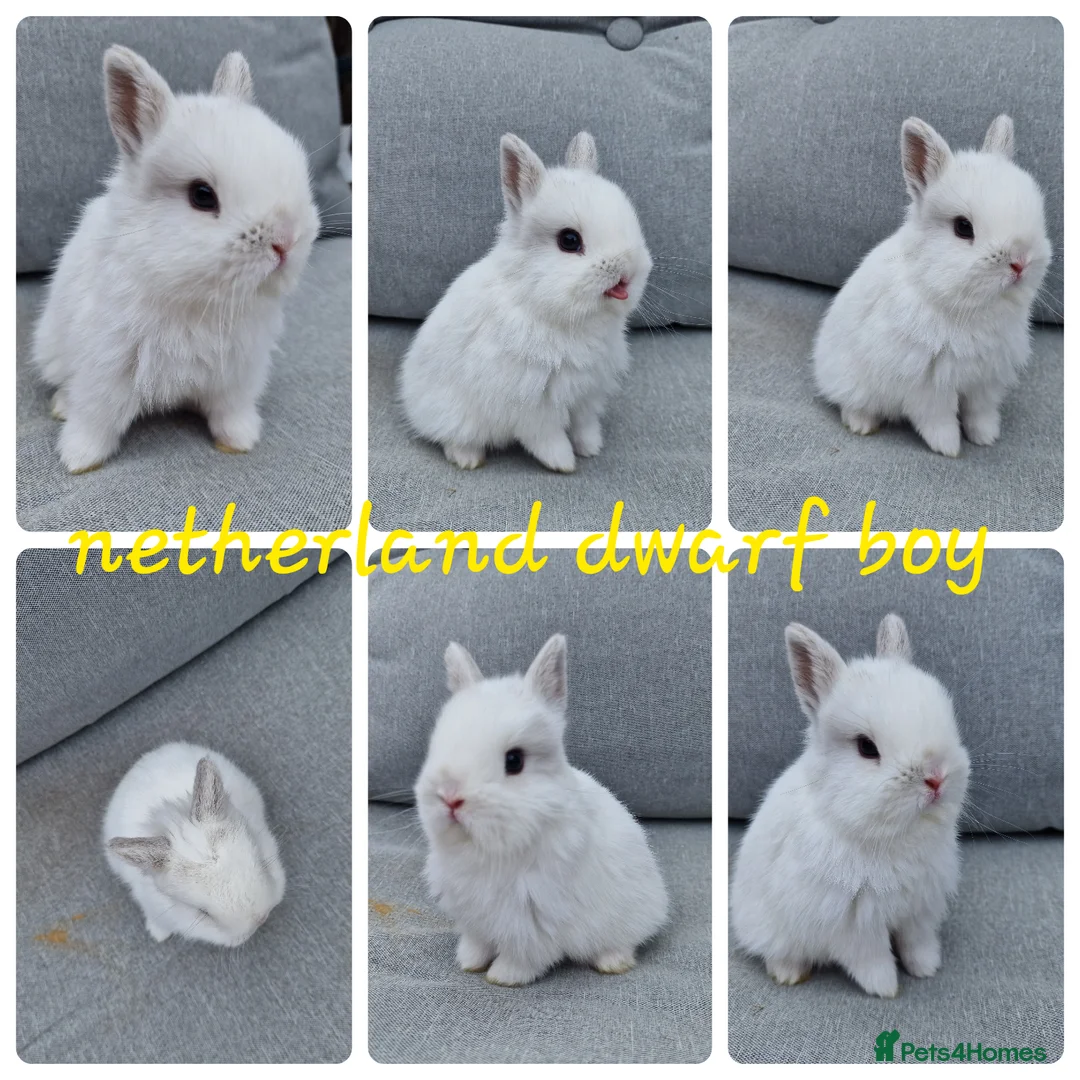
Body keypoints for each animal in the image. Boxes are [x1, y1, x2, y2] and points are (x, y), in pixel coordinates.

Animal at [31, 45, 320, 473]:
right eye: (202, 195)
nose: (286, 240)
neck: (197, 300)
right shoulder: (106, 366)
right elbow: (97, 417)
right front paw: (78, 459)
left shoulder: (238, 375)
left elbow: (230, 412)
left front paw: (240, 441)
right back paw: (61, 408)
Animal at [398, 131, 652, 472]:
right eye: (569, 240)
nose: (628, 271)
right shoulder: (532, 403)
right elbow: (546, 437)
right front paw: (564, 463)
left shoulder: (586, 395)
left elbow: (584, 425)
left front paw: (591, 448)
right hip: (452, 414)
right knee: (449, 436)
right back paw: (467, 458)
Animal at [414, 634, 668, 986]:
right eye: (438, 746)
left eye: (514, 760)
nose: (450, 797)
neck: (486, 848)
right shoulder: (473, 916)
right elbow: (477, 942)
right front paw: (469, 962)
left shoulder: (533, 918)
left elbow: (524, 954)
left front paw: (504, 976)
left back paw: (612, 962)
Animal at [730, 615, 970, 998]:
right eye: (866, 747)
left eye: (946, 719)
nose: (936, 779)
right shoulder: (853, 923)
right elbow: (871, 958)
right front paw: (886, 988)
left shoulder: (918, 910)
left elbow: (916, 942)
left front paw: (927, 969)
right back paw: (788, 973)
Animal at [813, 114, 1051, 456]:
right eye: (963, 227)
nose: (1020, 263)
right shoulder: (927, 384)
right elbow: (938, 419)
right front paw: (949, 448)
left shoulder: (985, 381)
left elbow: (980, 411)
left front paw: (986, 437)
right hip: (850, 379)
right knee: (849, 401)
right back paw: (861, 424)